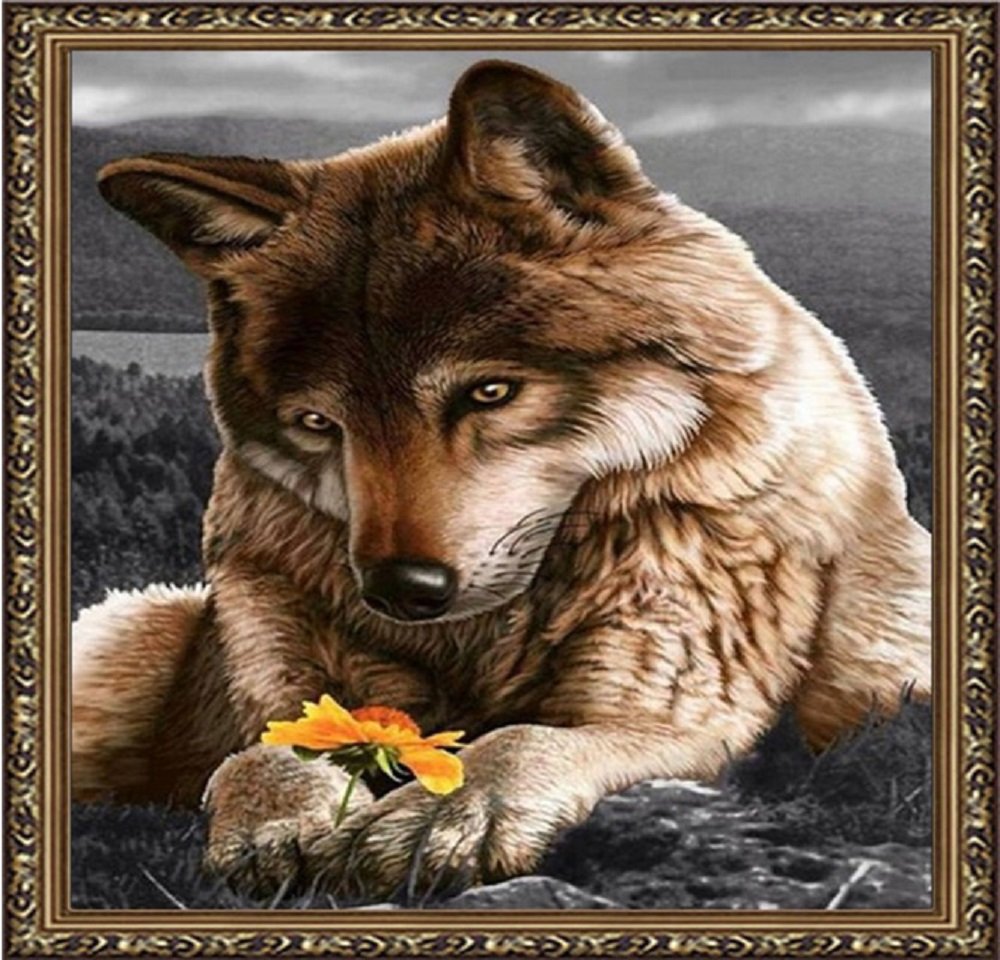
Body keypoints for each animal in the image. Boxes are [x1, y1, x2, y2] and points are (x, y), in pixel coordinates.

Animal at [73, 60, 931, 898]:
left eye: (489, 392)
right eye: (318, 424)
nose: (400, 590)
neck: (479, 643)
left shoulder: (673, 714)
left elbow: (521, 739)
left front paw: (445, 815)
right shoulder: (279, 679)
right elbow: (264, 751)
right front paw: (278, 820)